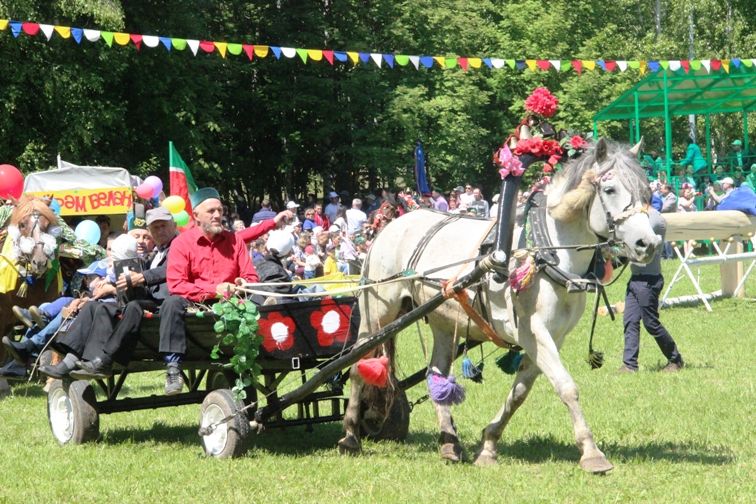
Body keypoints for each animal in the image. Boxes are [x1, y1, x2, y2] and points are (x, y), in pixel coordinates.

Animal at [340, 138, 660, 472]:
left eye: (646, 191)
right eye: (609, 190)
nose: (648, 244)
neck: (546, 252)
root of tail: (391, 225)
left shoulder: (552, 338)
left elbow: (520, 392)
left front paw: (489, 444)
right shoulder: (534, 333)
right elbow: (566, 386)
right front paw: (591, 451)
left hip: (443, 320)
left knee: (435, 373)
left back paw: (449, 443)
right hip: (378, 313)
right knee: (357, 366)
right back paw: (350, 435)